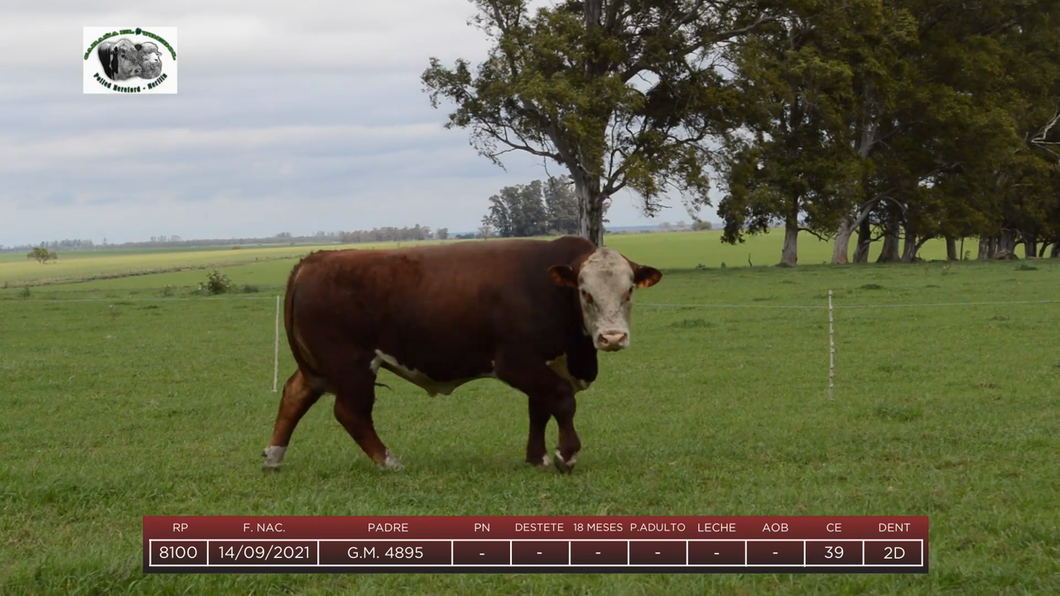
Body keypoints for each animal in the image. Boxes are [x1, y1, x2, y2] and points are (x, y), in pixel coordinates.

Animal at [260, 234, 657, 470]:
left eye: (629, 292)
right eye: (585, 292)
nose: (612, 337)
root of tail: (313, 260)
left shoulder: (545, 364)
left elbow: (539, 410)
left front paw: (537, 457)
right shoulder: (517, 361)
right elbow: (561, 401)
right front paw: (565, 454)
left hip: (320, 367)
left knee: (295, 394)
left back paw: (274, 456)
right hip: (351, 366)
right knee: (351, 413)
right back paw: (389, 462)